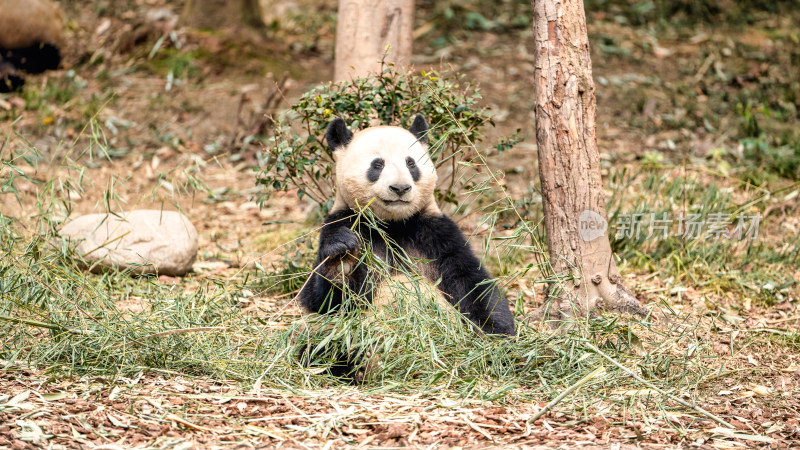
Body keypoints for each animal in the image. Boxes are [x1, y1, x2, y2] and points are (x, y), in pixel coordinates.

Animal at [296, 115, 516, 380]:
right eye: (377, 165)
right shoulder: (342, 221)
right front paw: (343, 258)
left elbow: (473, 283)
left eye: (411, 163)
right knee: (321, 344)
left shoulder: (435, 233)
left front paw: (496, 342)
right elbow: (323, 301)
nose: (400, 188)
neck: (393, 225)